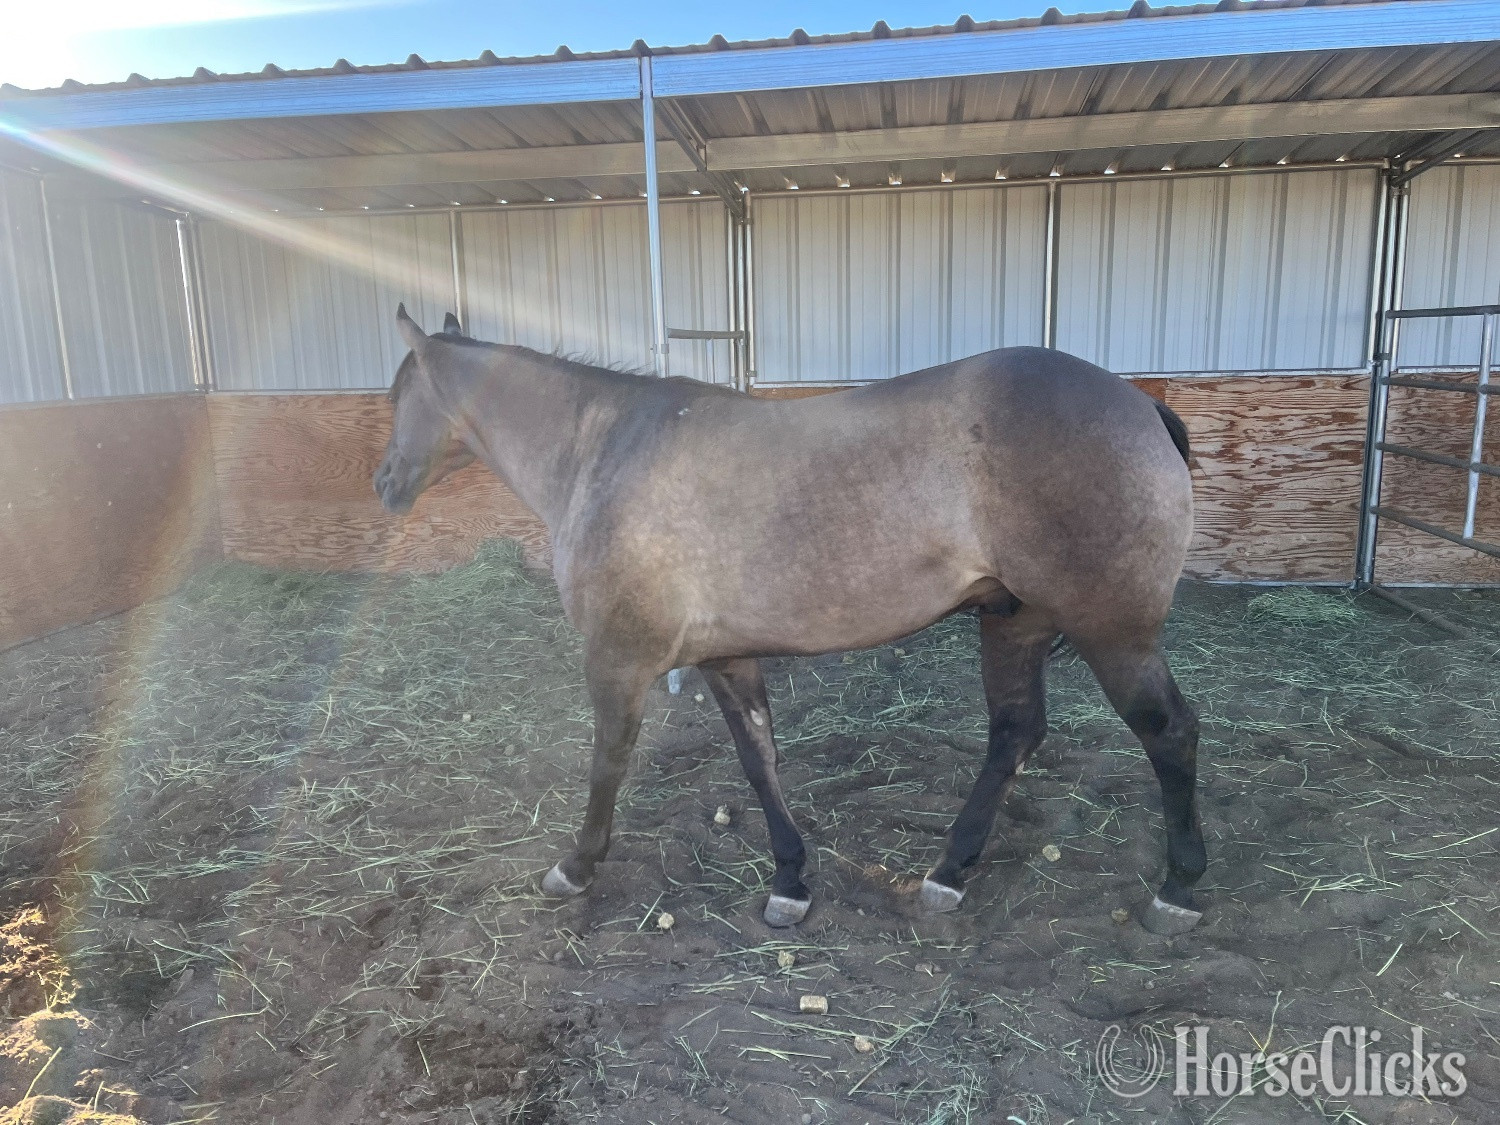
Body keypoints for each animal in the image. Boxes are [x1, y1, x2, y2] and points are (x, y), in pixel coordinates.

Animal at [375, 306, 1207, 937]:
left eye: (395, 395)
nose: (384, 482)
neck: (603, 450)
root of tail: (1141, 405)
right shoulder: (725, 657)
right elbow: (760, 759)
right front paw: (790, 881)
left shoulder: (617, 658)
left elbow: (608, 761)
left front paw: (574, 867)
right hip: (1014, 621)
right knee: (1014, 732)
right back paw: (947, 873)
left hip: (1113, 632)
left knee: (1168, 731)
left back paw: (1179, 889)